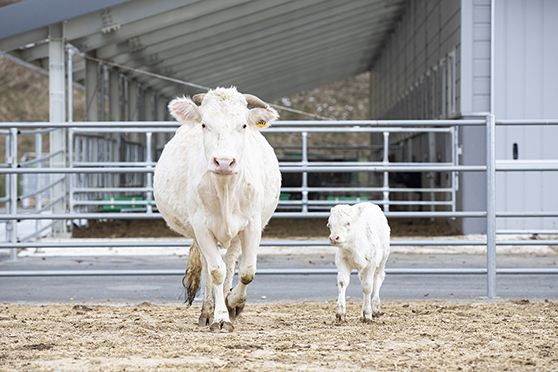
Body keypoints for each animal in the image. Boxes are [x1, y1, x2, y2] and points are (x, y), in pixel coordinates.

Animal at [153, 88, 282, 334]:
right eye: (204, 124)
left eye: (243, 125)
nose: (223, 162)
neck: (226, 190)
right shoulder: (201, 227)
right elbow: (215, 271)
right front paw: (220, 317)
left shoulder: (252, 225)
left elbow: (247, 271)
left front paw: (233, 304)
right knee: (208, 267)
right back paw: (207, 311)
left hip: (236, 235)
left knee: (231, 263)